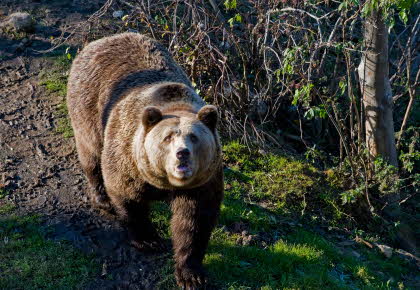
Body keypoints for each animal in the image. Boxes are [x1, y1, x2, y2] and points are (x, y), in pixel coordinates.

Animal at [66, 32, 223, 288]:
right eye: (168, 137)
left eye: (194, 137)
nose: (182, 153)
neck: (165, 183)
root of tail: (101, 40)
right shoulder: (127, 158)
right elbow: (128, 197)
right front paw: (148, 240)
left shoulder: (202, 182)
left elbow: (194, 222)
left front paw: (191, 274)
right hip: (87, 109)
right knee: (91, 154)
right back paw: (102, 197)